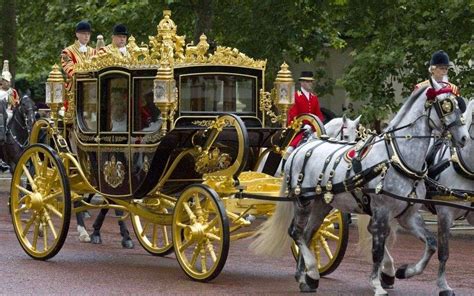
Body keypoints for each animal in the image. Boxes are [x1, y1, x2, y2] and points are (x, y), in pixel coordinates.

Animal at [250, 79, 468, 296]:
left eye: (459, 105)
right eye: (446, 105)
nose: (464, 138)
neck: (398, 158)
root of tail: (303, 146)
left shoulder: (408, 215)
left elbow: (431, 244)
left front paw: (405, 271)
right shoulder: (382, 211)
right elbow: (377, 250)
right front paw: (377, 284)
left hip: (322, 204)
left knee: (308, 234)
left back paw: (306, 278)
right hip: (303, 201)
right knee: (296, 233)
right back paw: (311, 271)